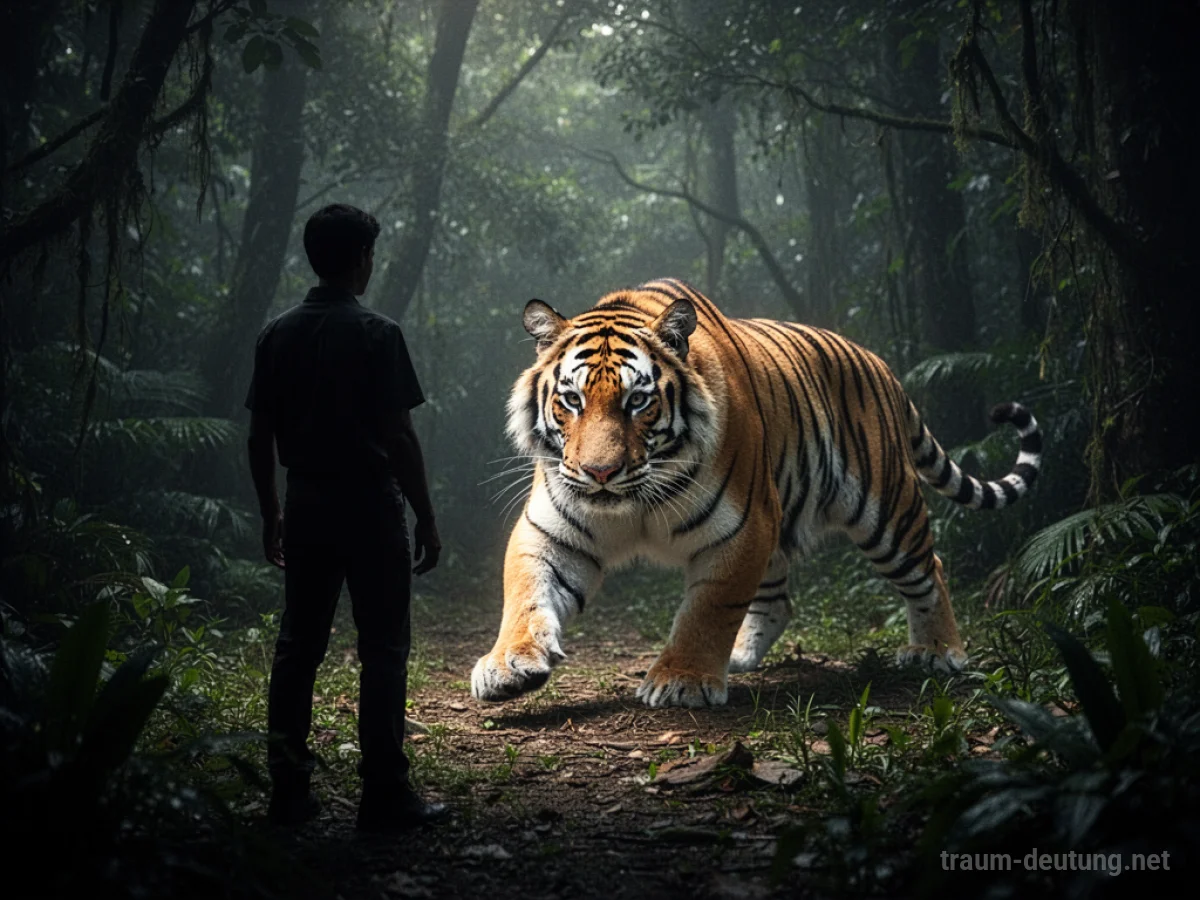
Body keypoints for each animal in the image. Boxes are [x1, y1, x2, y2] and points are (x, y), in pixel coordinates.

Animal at [470, 278, 1041, 708]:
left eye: (638, 401)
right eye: (571, 400)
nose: (601, 472)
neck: (635, 500)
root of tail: (881, 366)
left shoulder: (742, 526)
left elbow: (708, 609)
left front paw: (682, 679)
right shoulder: (551, 530)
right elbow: (525, 594)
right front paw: (508, 663)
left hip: (886, 512)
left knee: (930, 570)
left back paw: (940, 652)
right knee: (777, 599)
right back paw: (741, 657)